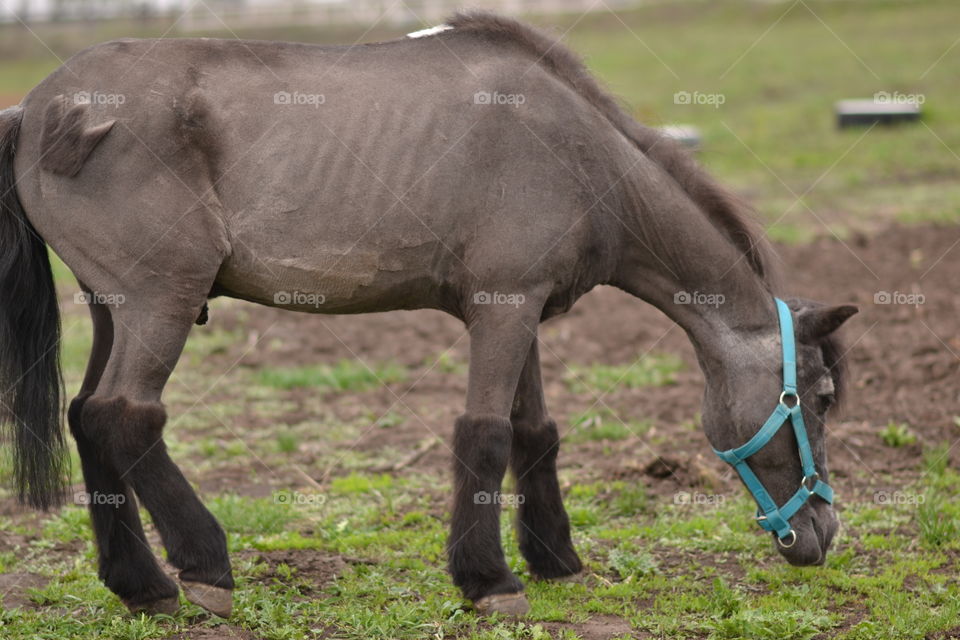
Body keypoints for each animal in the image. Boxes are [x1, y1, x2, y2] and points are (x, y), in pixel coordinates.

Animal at [0, 12, 857, 618]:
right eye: (816, 398)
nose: (822, 533)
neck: (579, 150)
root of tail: (39, 106)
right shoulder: (504, 311)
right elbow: (485, 434)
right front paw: (489, 580)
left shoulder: (519, 310)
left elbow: (534, 432)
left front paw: (553, 559)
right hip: (161, 304)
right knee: (124, 416)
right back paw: (204, 565)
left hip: (112, 309)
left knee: (87, 419)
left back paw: (139, 584)